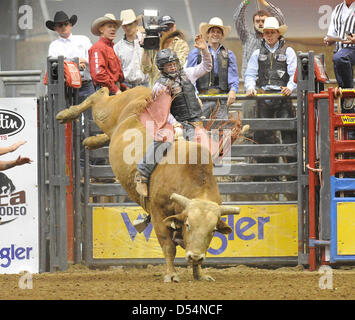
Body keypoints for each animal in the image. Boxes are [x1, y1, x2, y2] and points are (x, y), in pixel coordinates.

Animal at [57, 85, 246, 282]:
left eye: (212, 230)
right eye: (188, 225)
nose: (195, 256)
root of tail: (146, 92)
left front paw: (199, 273)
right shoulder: (157, 212)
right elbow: (168, 245)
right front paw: (171, 275)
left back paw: (91, 141)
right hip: (107, 112)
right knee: (99, 95)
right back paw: (66, 114)